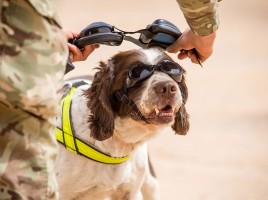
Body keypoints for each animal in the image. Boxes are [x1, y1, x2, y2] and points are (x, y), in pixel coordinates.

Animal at [54, 48, 189, 200]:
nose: (167, 87)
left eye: (172, 71)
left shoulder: (131, 192)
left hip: (150, 183)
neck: (117, 143)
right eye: (136, 73)